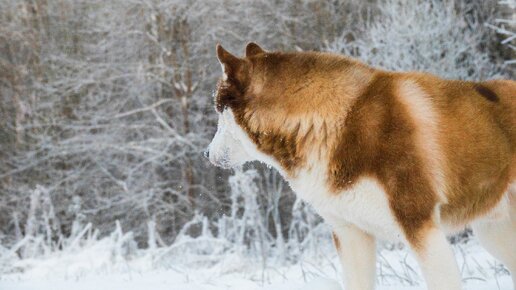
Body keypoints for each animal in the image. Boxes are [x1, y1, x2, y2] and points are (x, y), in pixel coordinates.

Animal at [207, 43, 516, 290]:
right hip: (493, 233)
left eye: (218, 110)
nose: (206, 153)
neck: (331, 122)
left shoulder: (420, 227)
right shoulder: (350, 234)